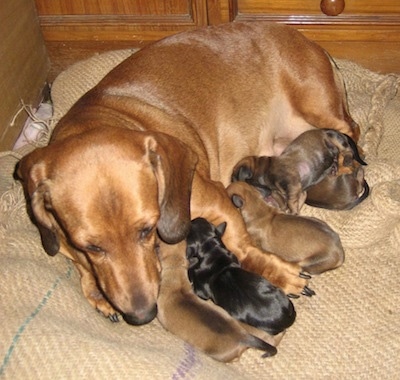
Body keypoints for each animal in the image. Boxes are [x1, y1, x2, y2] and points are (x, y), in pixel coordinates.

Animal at [233, 129, 368, 215]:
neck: (265, 168)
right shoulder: (301, 191)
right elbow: (298, 200)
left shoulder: (292, 184)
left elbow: (291, 202)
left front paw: (292, 212)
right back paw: (335, 165)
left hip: (335, 139)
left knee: (347, 152)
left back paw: (347, 160)